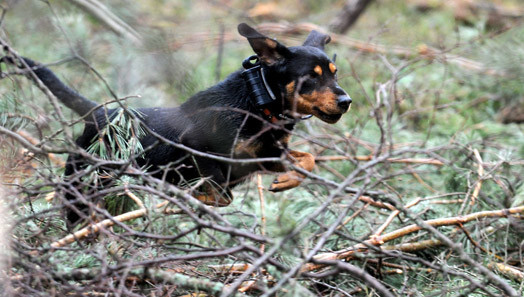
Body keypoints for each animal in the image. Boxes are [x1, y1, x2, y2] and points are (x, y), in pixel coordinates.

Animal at [8, 23, 350, 223]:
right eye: (310, 78)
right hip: (82, 184)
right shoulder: (200, 150)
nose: (346, 101)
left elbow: (308, 158)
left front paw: (288, 180)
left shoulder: (264, 154)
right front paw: (194, 197)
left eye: (335, 73)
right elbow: (222, 194)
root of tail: (99, 113)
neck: (258, 102)